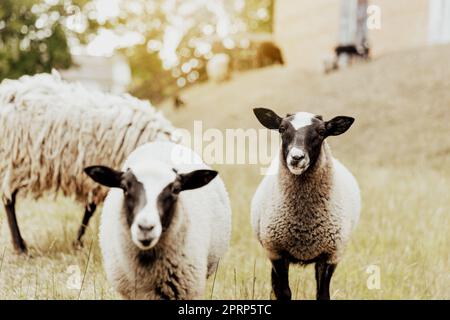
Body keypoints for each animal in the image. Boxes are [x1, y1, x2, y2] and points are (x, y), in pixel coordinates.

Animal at [0, 70, 178, 252]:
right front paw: (79, 242)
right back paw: (20, 246)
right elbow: (92, 209)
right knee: (9, 200)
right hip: (15, 161)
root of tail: (7, 92)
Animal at [251, 107, 360, 300]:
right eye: (281, 129)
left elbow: (322, 295)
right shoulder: (277, 252)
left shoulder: (330, 255)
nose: (297, 157)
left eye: (322, 132)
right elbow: (284, 292)